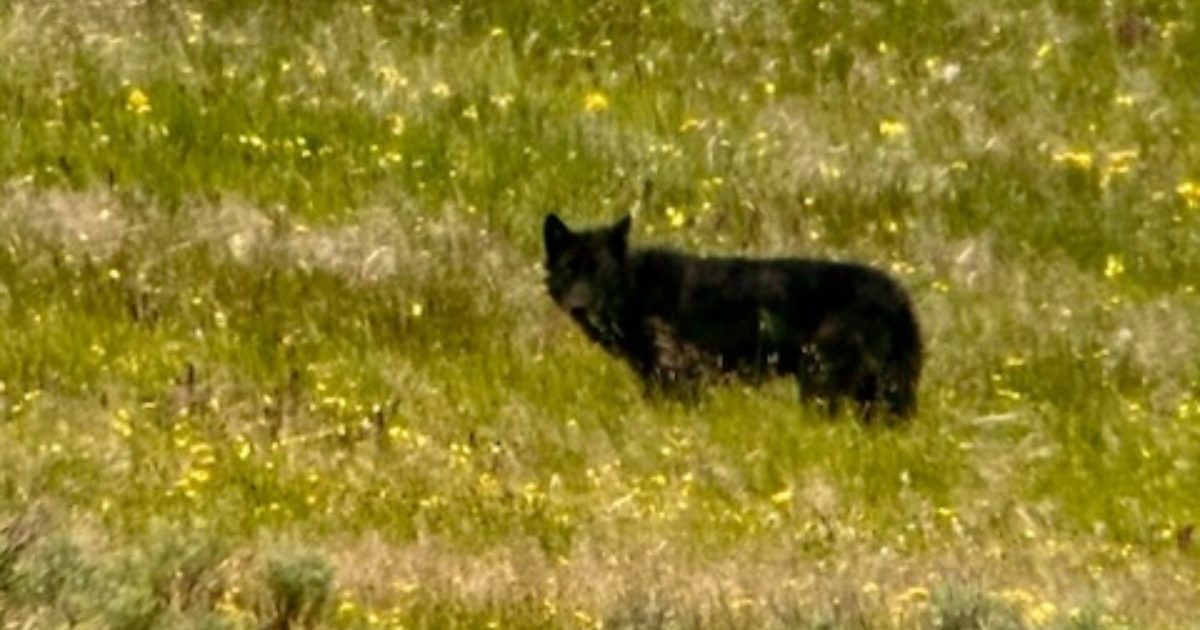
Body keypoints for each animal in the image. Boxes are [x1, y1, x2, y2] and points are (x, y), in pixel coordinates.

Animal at [542, 213, 923, 421]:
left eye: (600, 273)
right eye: (569, 270)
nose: (579, 306)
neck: (638, 288)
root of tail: (897, 294)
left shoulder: (680, 379)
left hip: (821, 384)